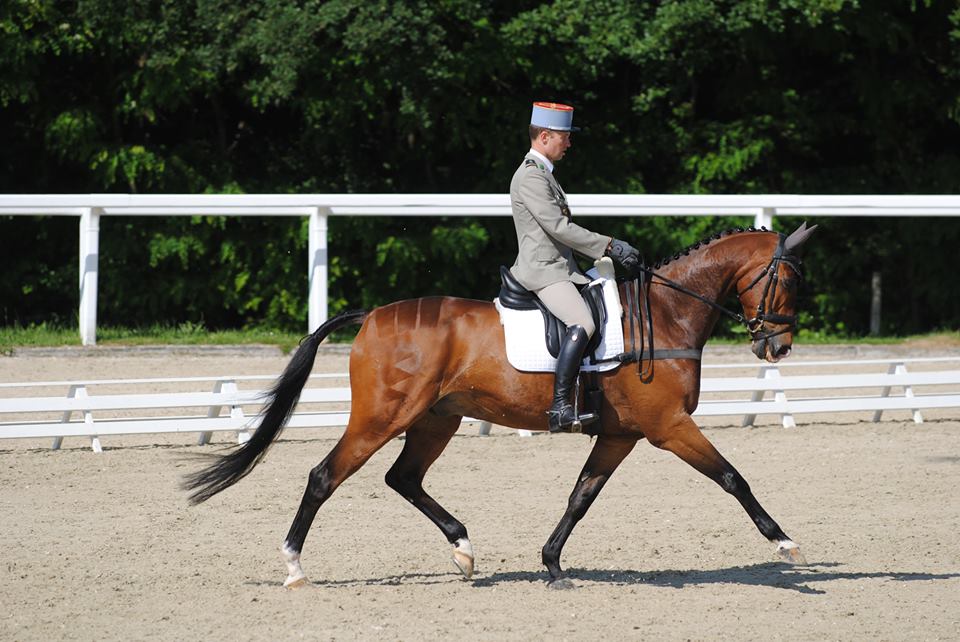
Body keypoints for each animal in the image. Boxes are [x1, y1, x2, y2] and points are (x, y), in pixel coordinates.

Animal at [184, 222, 812, 588]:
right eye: (788, 278)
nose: (777, 346)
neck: (664, 313)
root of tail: (372, 315)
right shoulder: (670, 427)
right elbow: (732, 477)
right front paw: (785, 543)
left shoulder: (620, 435)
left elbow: (581, 496)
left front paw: (552, 563)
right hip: (382, 417)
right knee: (324, 476)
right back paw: (294, 567)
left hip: (436, 419)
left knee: (403, 479)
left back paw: (463, 551)